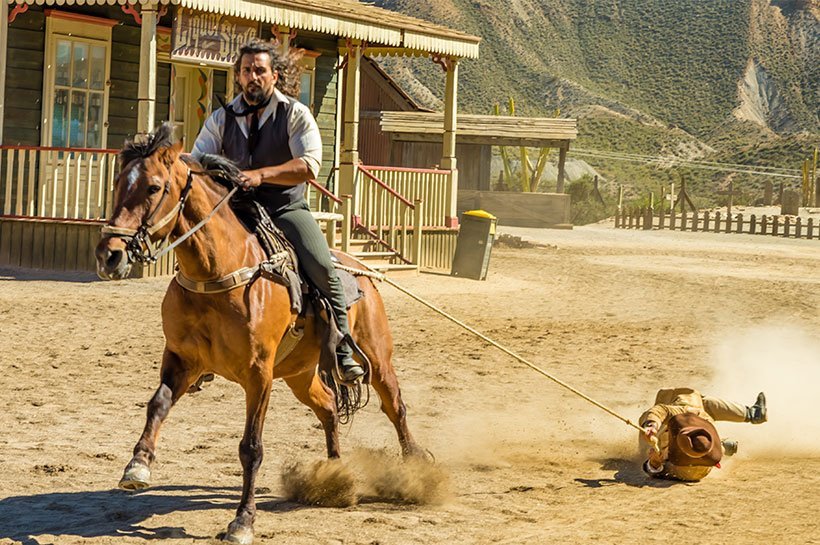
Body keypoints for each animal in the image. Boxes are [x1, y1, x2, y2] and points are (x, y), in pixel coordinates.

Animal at [97, 124, 422, 544]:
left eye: (153, 187)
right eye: (119, 182)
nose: (109, 254)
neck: (217, 272)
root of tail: (359, 269)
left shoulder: (258, 374)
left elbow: (251, 447)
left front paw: (242, 521)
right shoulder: (182, 360)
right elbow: (158, 404)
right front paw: (137, 465)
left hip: (376, 359)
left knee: (395, 406)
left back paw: (416, 471)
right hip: (300, 374)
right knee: (328, 407)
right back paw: (336, 475)